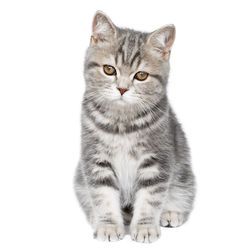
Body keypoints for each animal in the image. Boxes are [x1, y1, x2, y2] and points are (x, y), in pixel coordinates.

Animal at [74, 10, 195, 243]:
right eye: (109, 69)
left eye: (141, 75)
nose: (122, 89)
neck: (122, 123)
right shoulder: (96, 159)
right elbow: (103, 196)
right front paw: (108, 226)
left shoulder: (156, 161)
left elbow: (150, 198)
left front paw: (146, 228)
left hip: (185, 174)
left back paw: (170, 212)